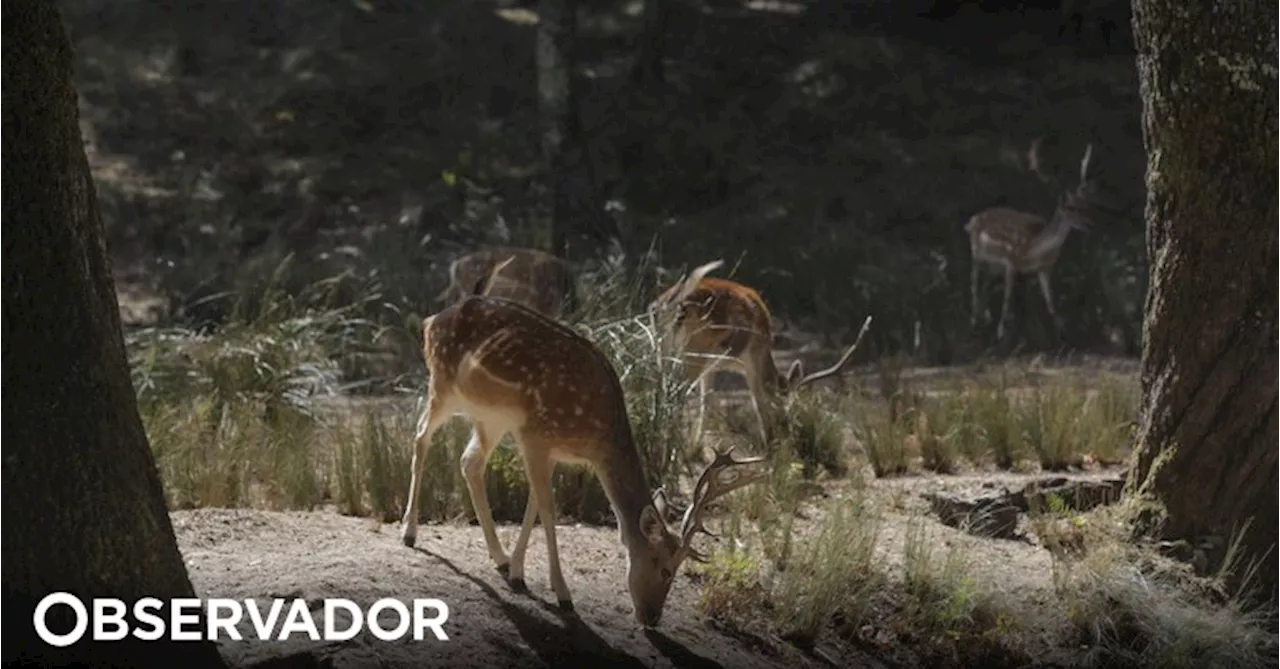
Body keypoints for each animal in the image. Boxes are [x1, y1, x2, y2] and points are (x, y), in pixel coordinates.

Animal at [399, 260, 762, 629]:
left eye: (677, 570)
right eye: (662, 567)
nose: (652, 617)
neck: (596, 434)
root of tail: (431, 320)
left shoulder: (550, 449)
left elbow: (533, 505)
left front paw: (517, 573)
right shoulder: (534, 434)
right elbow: (548, 510)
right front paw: (563, 595)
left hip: (490, 418)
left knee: (469, 461)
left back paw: (498, 557)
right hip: (442, 384)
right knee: (420, 436)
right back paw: (409, 533)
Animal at [650, 260, 870, 445]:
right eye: (788, 402)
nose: (788, 429)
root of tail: (674, 303)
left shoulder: (711, 368)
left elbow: (706, 402)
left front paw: (697, 448)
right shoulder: (751, 360)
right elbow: (758, 402)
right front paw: (768, 442)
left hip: (665, 348)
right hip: (694, 351)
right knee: (676, 392)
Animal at [962, 140, 1095, 340]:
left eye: (1085, 205)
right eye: (1070, 208)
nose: (1089, 224)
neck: (1033, 249)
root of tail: (972, 220)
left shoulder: (1045, 269)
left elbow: (1051, 303)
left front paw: (1061, 333)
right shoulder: (1011, 262)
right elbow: (1008, 300)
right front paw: (1001, 333)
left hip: (993, 266)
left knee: (984, 286)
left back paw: (984, 320)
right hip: (977, 253)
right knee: (974, 286)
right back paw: (974, 323)